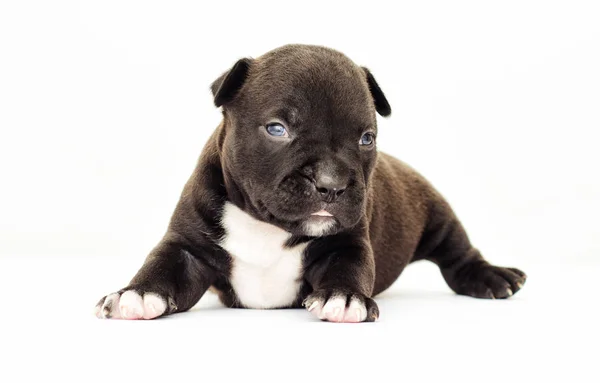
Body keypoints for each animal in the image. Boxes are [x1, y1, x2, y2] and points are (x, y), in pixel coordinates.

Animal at [92, 43, 524, 322]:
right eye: (276, 129)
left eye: (367, 138)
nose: (331, 184)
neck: (267, 228)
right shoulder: (189, 247)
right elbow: (164, 265)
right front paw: (136, 294)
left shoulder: (346, 243)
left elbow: (348, 268)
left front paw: (346, 299)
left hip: (435, 213)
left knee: (458, 253)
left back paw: (493, 277)